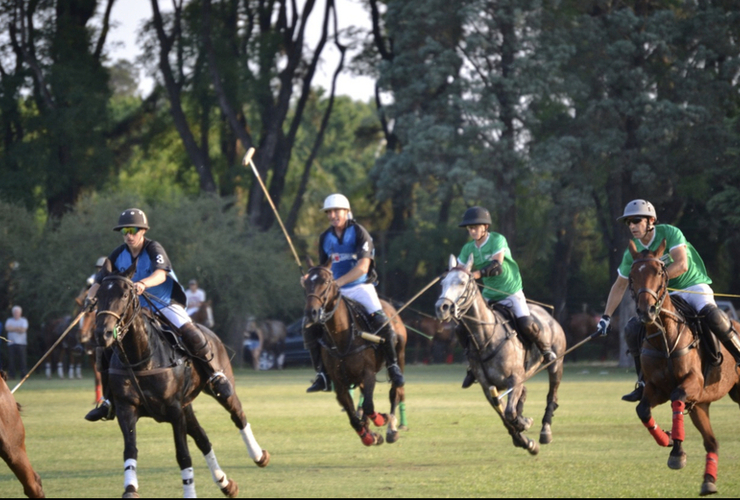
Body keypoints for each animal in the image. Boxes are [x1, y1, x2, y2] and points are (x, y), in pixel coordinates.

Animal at [94, 262, 270, 496]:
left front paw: (189, 492)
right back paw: (225, 483)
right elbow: (130, 449)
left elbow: (183, 455)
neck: (140, 358)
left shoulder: (174, 410)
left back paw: (259, 456)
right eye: (98, 296)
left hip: (219, 388)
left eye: (124, 294)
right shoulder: (126, 408)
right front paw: (130, 488)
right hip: (187, 406)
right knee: (203, 439)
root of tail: (207, 330)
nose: (102, 334)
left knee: (238, 415)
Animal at [302, 262, 410, 446]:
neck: (341, 336)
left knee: (396, 391)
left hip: (400, 355)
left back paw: (392, 428)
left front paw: (382, 420)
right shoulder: (339, 383)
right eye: (306, 282)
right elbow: (353, 415)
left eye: (326, 281)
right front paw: (369, 436)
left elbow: (369, 406)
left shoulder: (368, 373)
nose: (312, 313)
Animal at [434, 256, 568, 456]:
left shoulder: (515, 377)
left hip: (556, 364)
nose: (441, 308)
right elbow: (505, 415)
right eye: (442, 283)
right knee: (524, 393)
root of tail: (549, 315)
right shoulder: (488, 387)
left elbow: (509, 413)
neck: (485, 337)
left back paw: (545, 430)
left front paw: (524, 424)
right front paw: (525, 441)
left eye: (462, 282)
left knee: (552, 395)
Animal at [624, 239, 740, 496]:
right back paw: (708, 481)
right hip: (701, 405)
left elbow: (677, 397)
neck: (664, 339)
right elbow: (642, 410)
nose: (646, 311)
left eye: (659, 272)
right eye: (631, 276)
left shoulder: (692, 382)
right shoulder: (657, 388)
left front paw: (677, 452)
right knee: (712, 442)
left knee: (715, 317)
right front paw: (668, 439)